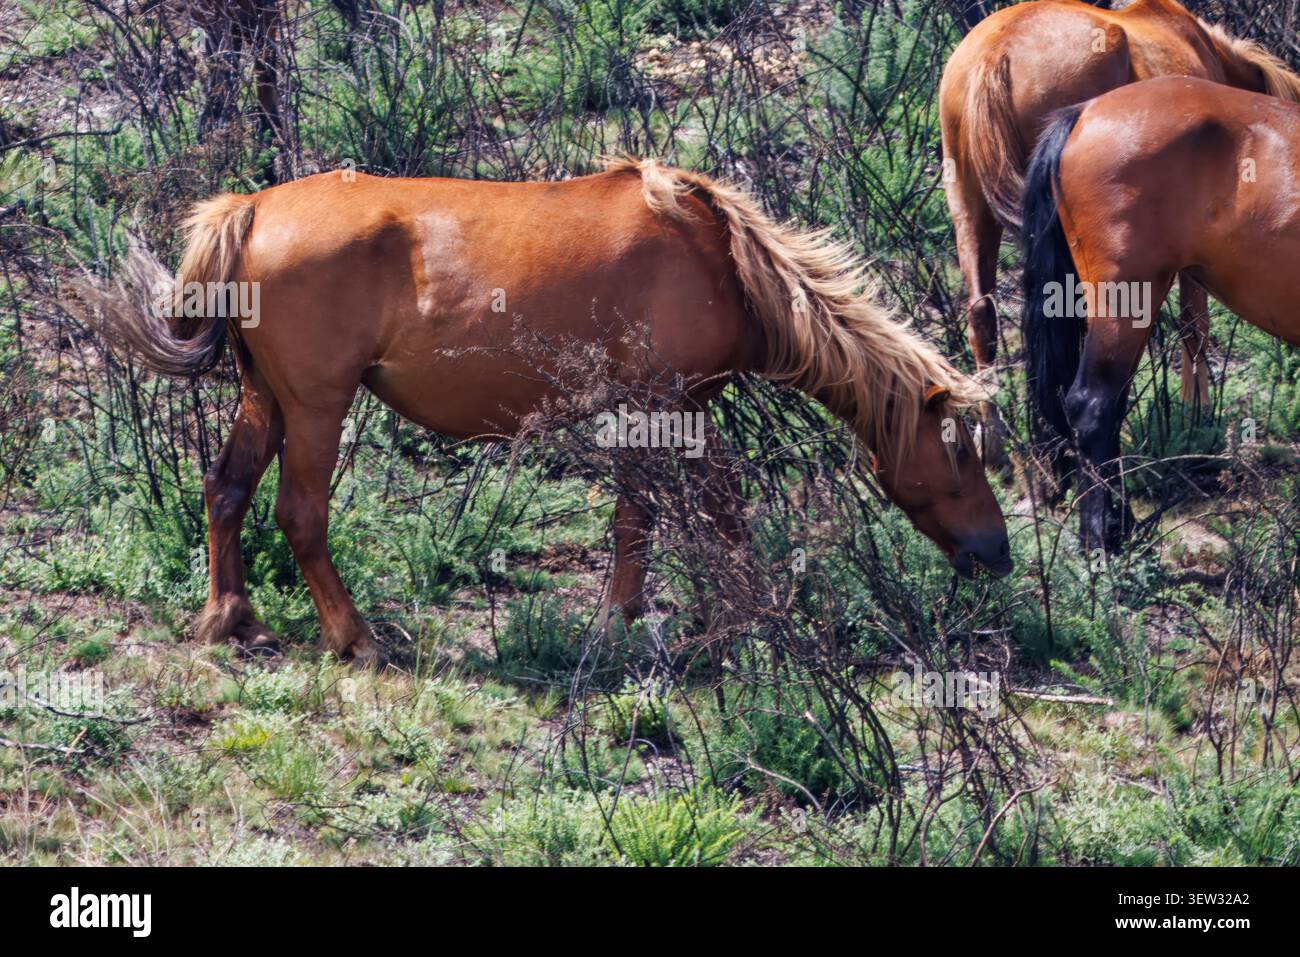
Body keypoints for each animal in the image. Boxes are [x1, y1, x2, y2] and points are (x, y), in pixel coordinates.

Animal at [84, 159, 1012, 664]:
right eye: (963, 453)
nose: (997, 554)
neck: (720, 258)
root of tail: (251, 209)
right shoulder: (659, 405)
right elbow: (665, 513)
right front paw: (645, 616)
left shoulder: (674, 408)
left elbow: (692, 510)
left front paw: (718, 612)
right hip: (316, 406)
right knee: (300, 514)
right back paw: (355, 637)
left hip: (265, 398)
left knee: (226, 490)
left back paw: (229, 616)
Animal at [940, 0, 1300, 462]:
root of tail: (995, 51)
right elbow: (1194, 322)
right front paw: (1196, 413)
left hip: (968, 208)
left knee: (981, 316)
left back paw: (996, 445)